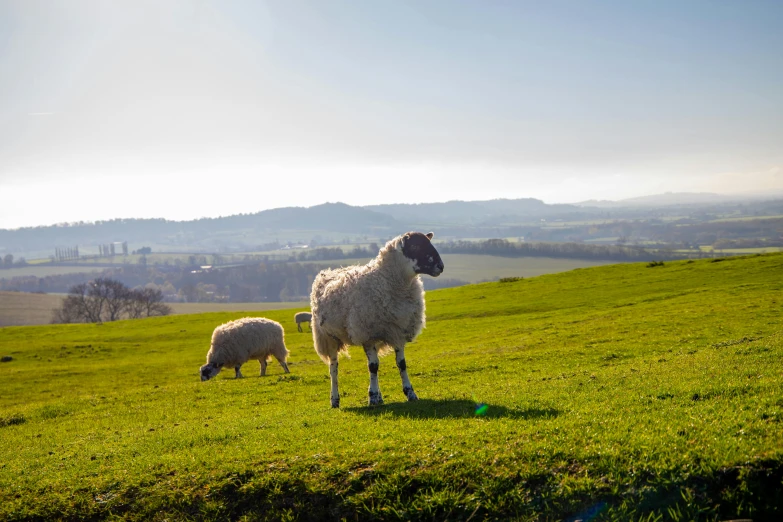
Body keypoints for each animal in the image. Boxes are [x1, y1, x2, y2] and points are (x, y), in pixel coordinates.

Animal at [312, 231, 448, 406]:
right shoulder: (367, 334)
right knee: (333, 368)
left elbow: (401, 364)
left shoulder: (397, 331)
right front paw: (373, 396)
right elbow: (373, 366)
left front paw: (410, 393)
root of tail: (327, 272)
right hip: (328, 337)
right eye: (415, 246)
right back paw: (335, 400)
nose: (441, 266)